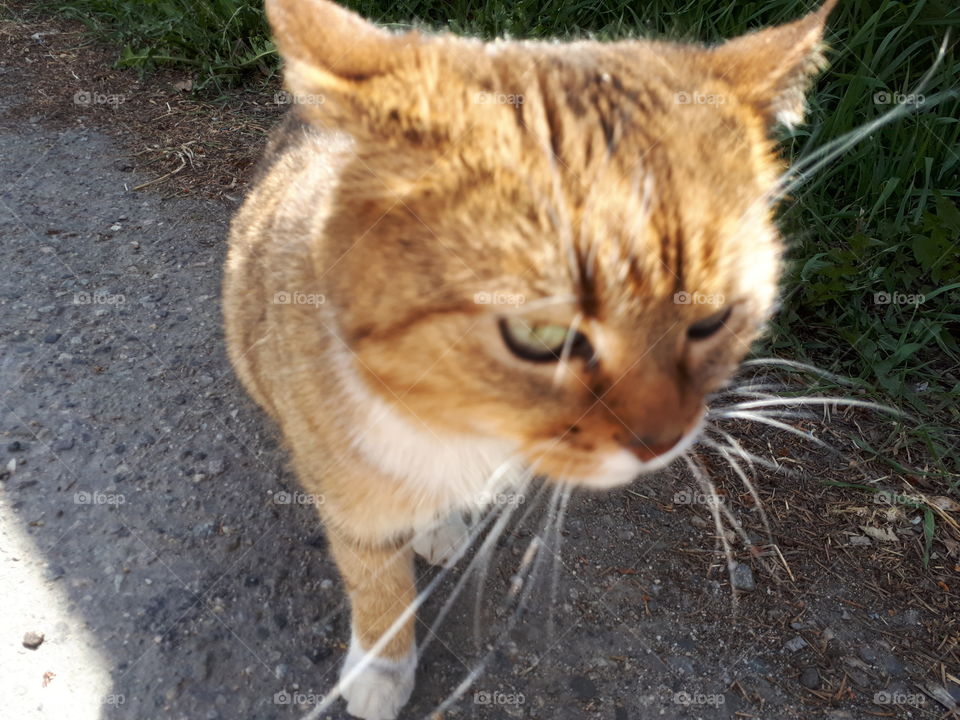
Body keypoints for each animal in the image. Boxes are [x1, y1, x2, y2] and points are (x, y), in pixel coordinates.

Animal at [221, 2, 836, 716]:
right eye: (540, 334)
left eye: (711, 318)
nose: (663, 440)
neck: (463, 422)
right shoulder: (350, 490)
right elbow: (375, 576)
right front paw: (381, 666)